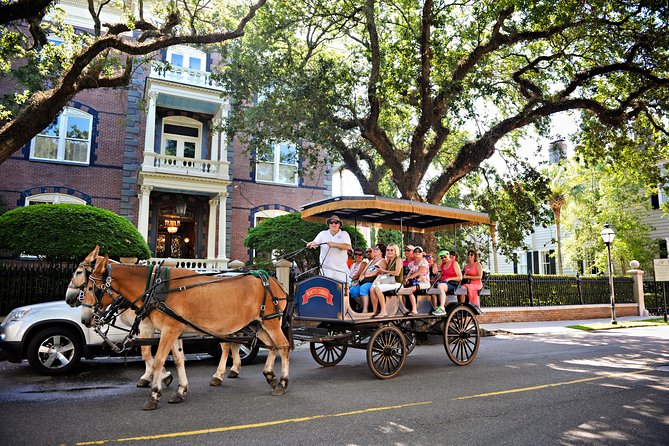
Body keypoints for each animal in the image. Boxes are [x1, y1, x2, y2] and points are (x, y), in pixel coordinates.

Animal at [73, 246, 292, 410]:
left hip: (271, 321)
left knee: (282, 346)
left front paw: (155, 394)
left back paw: (282, 383)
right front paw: (180, 390)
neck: (155, 289)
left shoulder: (168, 330)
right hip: (259, 324)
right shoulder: (174, 330)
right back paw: (269, 375)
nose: (85, 318)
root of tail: (274, 281)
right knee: (270, 346)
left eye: (90, 287)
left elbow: (158, 360)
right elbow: (178, 360)